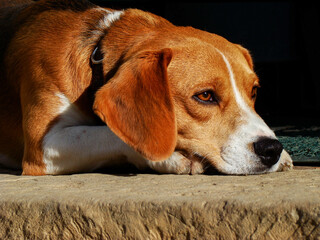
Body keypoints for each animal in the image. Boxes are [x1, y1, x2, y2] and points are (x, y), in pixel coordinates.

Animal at [0, 0, 294, 174]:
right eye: (205, 96)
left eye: (253, 91)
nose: (271, 149)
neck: (96, 51)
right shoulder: (43, 147)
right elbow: (108, 134)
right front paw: (173, 157)